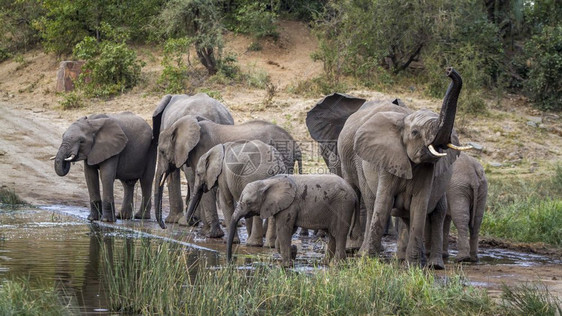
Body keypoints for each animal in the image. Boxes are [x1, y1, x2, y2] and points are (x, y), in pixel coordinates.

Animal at [151, 92, 232, 223]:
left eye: (162, 151)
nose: (163, 224)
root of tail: (216, 115)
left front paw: (172, 221)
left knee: (192, 177)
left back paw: (189, 221)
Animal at [153, 117, 302, 238]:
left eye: (162, 151)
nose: (164, 226)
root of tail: (295, 144)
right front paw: (205, 233)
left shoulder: (203, 151)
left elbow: (208, 192)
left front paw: (212, 235)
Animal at [225, 174, 356, 266]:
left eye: (248, 203)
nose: (230, 262)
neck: (268, 182)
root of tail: (354, 193)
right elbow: (288, 230)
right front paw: (293, 252)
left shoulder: (289, 206)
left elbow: (284, 230)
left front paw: (286, 265)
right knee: (333, 235)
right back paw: (326, 263)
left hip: (343, 206)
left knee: (339, 234)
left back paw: (338, 265)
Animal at [304, 67, 470, 270]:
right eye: (415, 133)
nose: (449, 70)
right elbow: (380, 201)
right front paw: (367, 258)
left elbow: (418, 207)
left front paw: (412, 265)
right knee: (367, 198)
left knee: (432, 211)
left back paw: (431, 264)